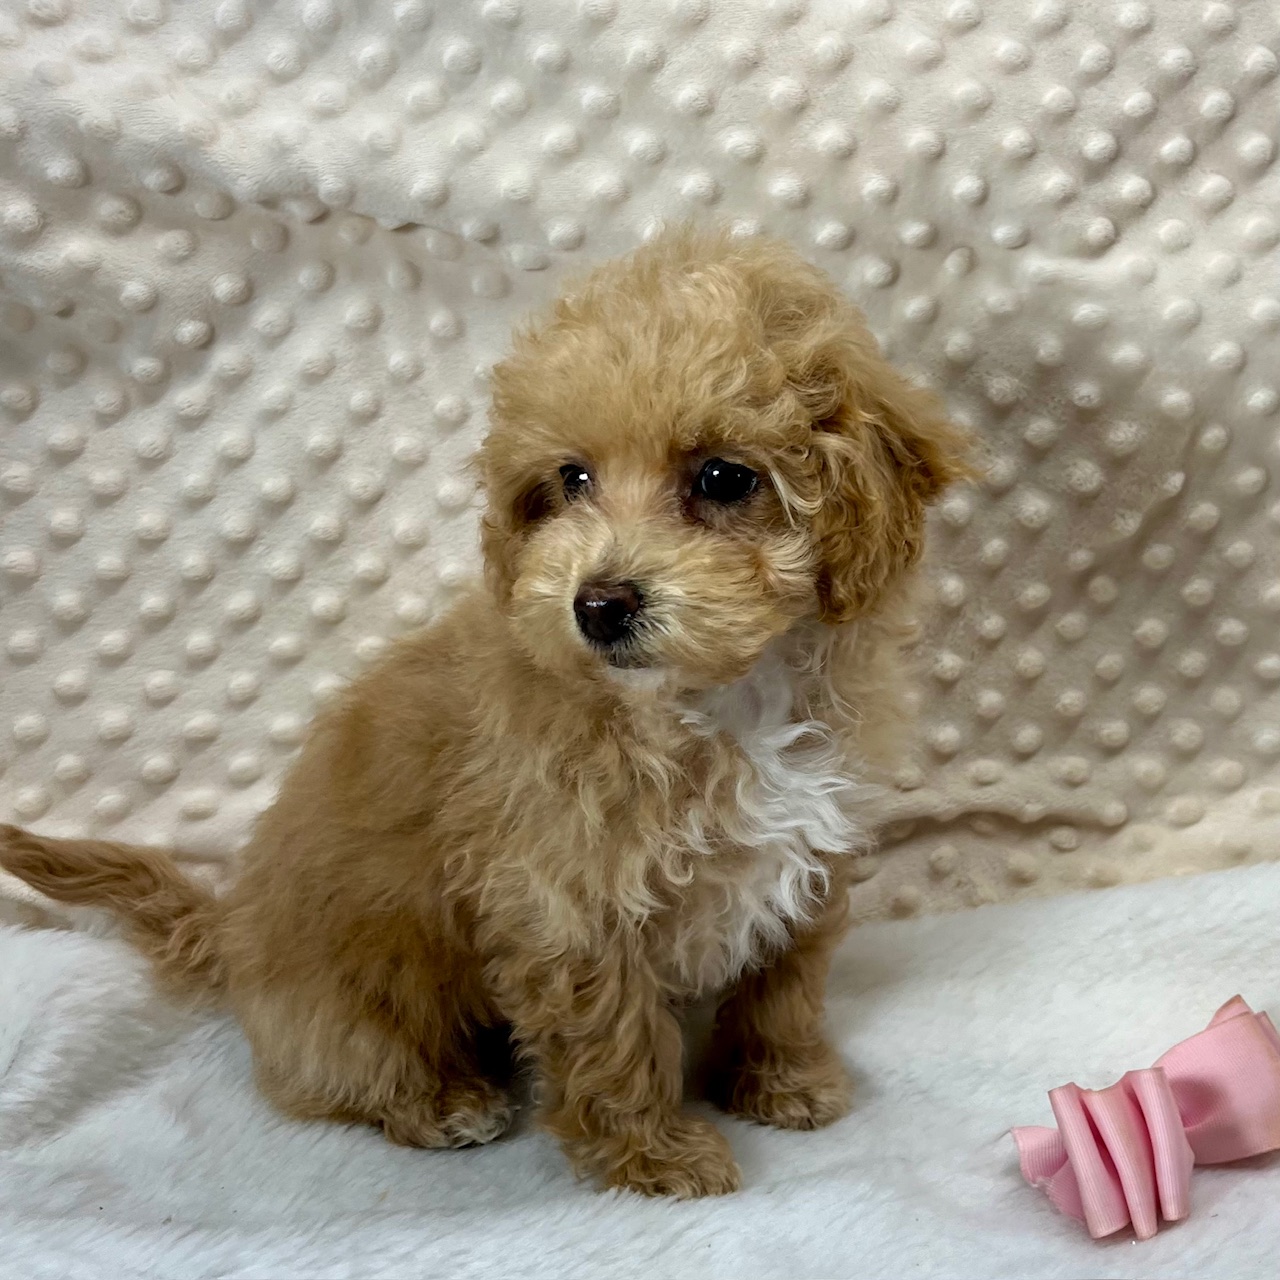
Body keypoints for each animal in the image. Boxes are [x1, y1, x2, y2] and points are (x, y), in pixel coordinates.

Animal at [0, 227, 967, 1198]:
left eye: (726, 478)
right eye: (571, 480)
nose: (598, 604)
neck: (715, 703)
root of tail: (229, 932)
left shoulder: (810, 857)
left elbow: (786, 984)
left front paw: (785, 1083)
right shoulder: (569, 899)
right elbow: (612, 1038)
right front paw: (652, 1156)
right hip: (352, 996)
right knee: (340, 1069)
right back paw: (440, 1102)